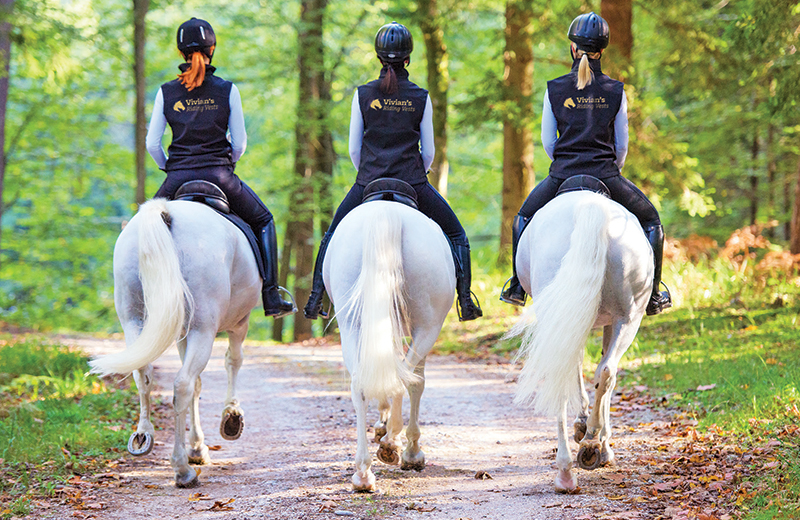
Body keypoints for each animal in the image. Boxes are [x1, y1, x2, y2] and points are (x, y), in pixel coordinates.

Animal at [89, 197, 261, 488]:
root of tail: (166, 211)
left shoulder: (183, 332)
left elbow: (199, 383)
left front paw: (198, 447)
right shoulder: (240, 323)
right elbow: (233, 361)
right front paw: (231, 417)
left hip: (133, 320)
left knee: (143, 373)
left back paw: (143, 436)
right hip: (203, 328)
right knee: (182, 384)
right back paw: (182, 469)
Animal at [325, 200, 456, 492]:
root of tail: (386, 210)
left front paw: (383, 427)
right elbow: (414, 381)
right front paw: (406, 447)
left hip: (350, 323)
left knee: (361, 384)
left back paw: (363, 473)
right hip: (429, 325)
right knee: (407, 380)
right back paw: (397, 446)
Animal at [505, 189, 652, 493]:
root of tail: (590, 206)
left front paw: (589, 429)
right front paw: (595, 435)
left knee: (579, 372)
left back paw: (569, 467)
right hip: (628, 318)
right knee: (604, 372)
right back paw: (588, 447)